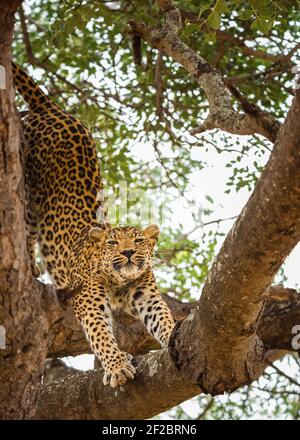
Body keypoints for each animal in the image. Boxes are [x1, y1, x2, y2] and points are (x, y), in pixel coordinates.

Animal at [12, 62, 176, 388]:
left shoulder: (147, 294)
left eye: (138, 241)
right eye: (113, 243)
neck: (120, 282)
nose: (127, 253)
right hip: (29, 193)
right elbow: (100, 333)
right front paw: (117, 365)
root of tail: (51, 108)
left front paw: (172, 335)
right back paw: (31, 265)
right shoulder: (88, 299)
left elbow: (162, 316)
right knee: (26, 227)